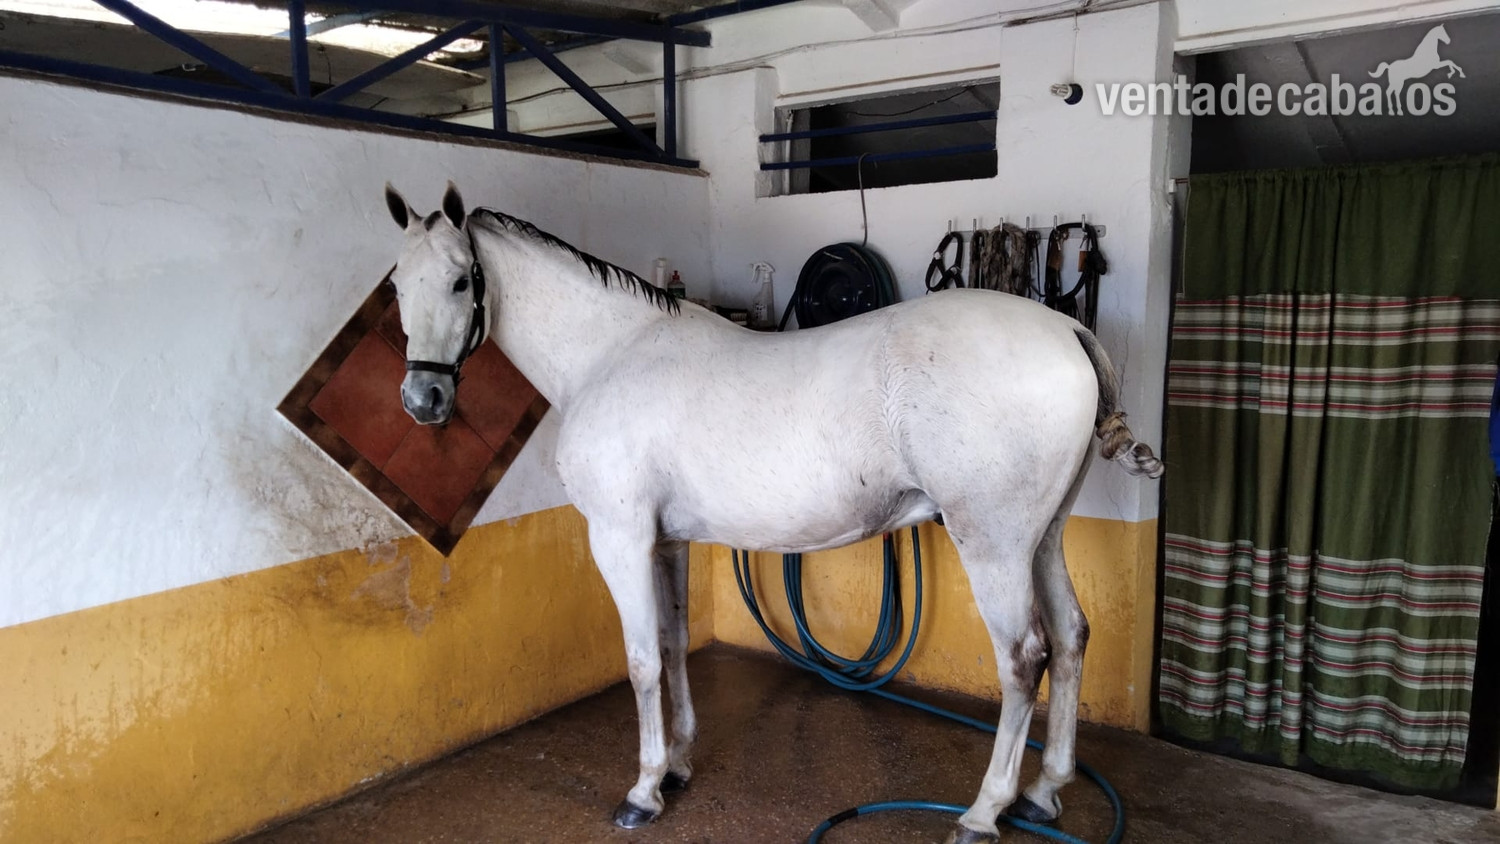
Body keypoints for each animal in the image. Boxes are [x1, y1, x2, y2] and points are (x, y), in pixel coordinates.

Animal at [379, 182, 1162, 844]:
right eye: (395, 285)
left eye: (460, 280)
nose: (422, 401)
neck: (610, 355)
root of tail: (1065, 330)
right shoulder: (666, 542)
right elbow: (673, 643)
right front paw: (679, 766)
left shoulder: (620, 538)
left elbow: (640, 660)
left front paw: (643, 791)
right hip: (1042, 538)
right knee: (1071, 637)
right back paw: (1044, 793)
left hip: (994, 545)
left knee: (1024, 659)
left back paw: (983, 812)